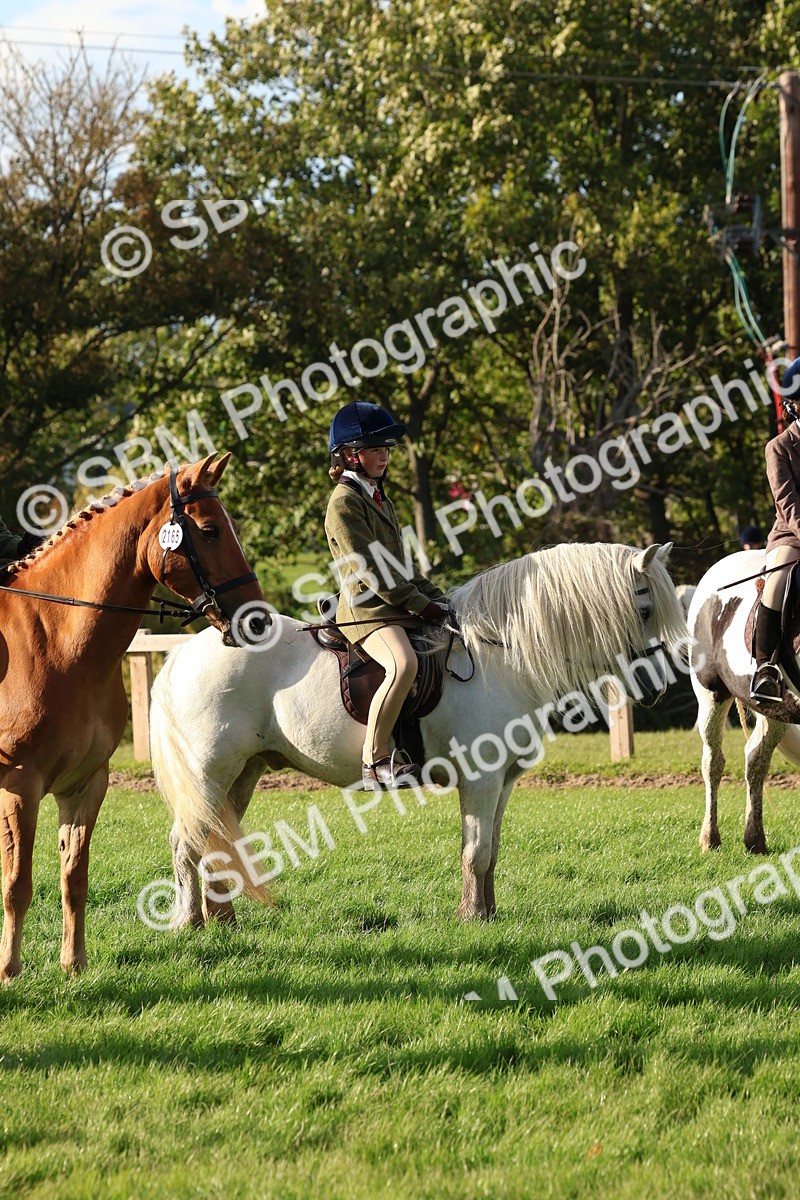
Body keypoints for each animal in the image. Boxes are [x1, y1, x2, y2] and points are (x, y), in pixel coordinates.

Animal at [0, 452, 267, 979]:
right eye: (210, 531)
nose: (259, 619)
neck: (56, 645)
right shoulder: (20, 784)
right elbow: (18, 884)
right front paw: (10, 971)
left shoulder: (85, 784)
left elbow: (73, 877)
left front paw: (73, 964)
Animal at [149, 541, 688, 927]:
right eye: (645, 609)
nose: (658, 684)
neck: (500, 654)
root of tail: (183, 654)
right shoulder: (481, 779)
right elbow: (476, 851)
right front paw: (472, 918)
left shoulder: (503, 782)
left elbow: (492, 850)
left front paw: (488, 913)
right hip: (210, 772)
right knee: (185, 841)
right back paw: (191, 923)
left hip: (244, 771)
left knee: (213, 837)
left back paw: (223, 919)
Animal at [689, 550, 800, 854]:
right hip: (711, 694)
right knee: (713, 762)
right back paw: (709, 838)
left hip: (777, 710)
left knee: (755, 759)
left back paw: (755, 839)